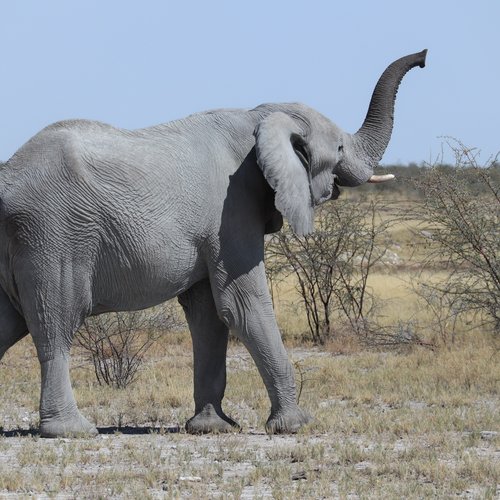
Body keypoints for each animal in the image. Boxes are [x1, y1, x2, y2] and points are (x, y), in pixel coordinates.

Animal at [0, 47, 428, 438]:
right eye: (339, 148)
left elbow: (208, 314)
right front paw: (295, 425)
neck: (260, 115)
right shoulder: (231, 210)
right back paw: (72, 431)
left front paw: (211, 428)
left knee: (10, 322)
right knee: (56, 322)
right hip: (53, 235)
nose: (424, 56)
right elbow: (241, 305)